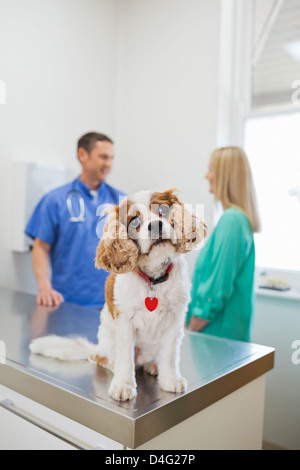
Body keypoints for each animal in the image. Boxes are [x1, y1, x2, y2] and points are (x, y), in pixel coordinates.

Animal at [30, 189, 207, 402]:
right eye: (135, 221)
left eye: (163, 210)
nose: (155, 225)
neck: (153, 279)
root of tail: (97, 348)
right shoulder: (125, 323)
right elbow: (125, 358)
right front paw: (123, 384)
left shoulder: (175, 319)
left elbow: (170, 354)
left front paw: (170, 379)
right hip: (108, 343)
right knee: (103, 359)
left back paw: (154, 365)